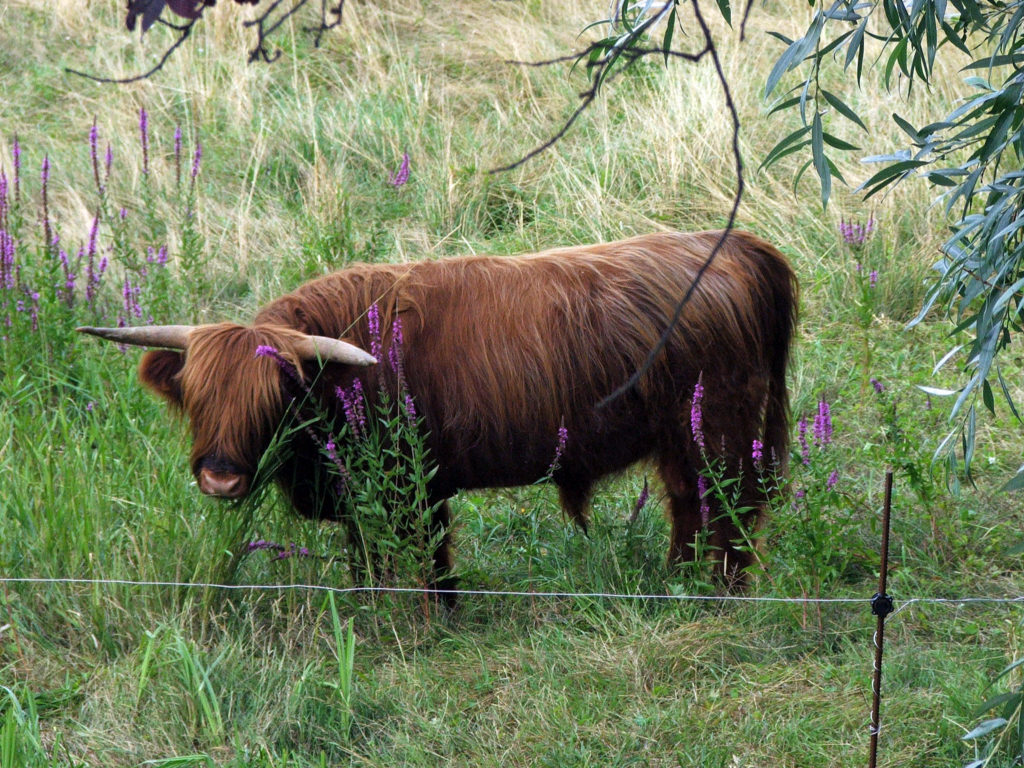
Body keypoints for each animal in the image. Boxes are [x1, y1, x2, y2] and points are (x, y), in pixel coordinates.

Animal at [79, 228, 798, 593]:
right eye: (199, 397)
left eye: (274, 399)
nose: (221, 477)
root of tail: (738, 246)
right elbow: (368, 557)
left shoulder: (410, 483)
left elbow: (421, 555)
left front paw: (424, 614)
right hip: (685, 439)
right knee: (689, 504)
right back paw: (677, 581)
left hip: (719, 430)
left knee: (727, 509)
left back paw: (718, 591)